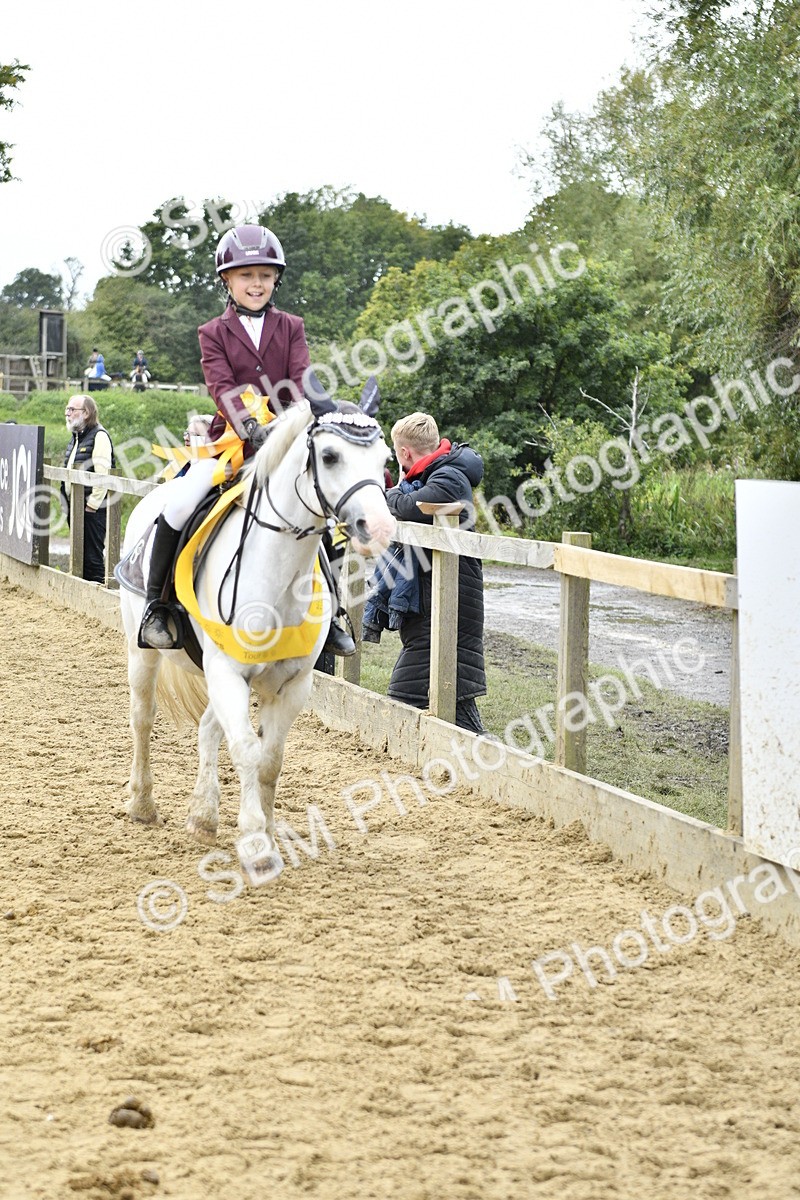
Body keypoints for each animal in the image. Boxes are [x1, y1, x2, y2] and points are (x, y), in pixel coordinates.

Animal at [119, 399, 396, 860]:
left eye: (385, 460)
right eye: (330, 456)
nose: (379, 528)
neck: (277, 570)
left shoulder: (291, 683)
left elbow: (270, 759)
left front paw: (265, 829)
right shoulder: (228, 672)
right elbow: (248, 750)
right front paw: (254, 843)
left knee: (208, 727)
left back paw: (203, 816)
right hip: (144, 652)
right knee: (143, 717)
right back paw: (142, 804)